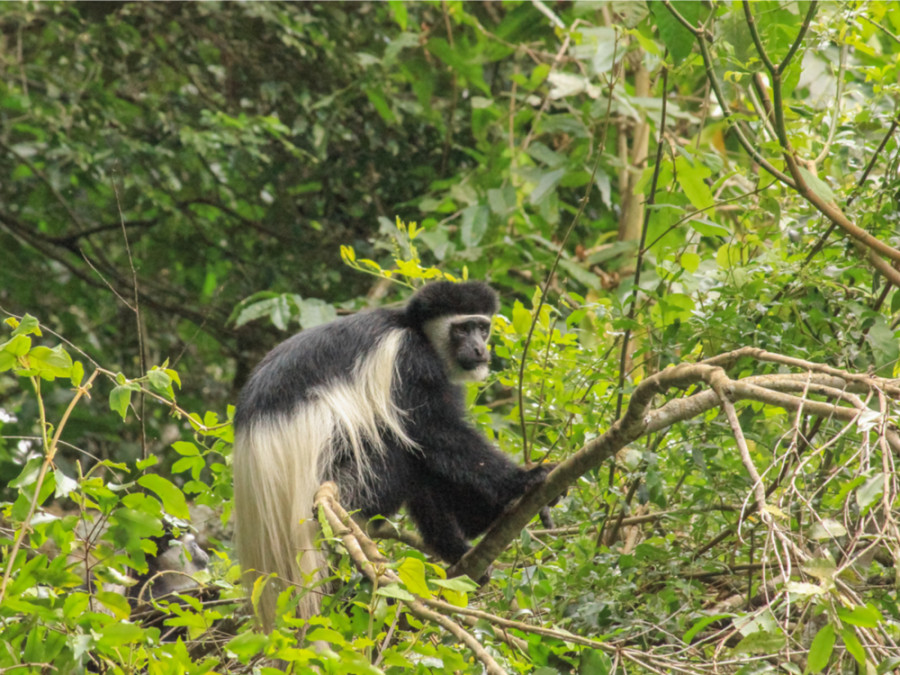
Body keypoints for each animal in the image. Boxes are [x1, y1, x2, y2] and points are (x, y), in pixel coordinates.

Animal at [234, 282, 548, 628]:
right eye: (463, 329)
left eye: (482, 327)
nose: (479, 349)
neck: (413, 328)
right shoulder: (410, 360)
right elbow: (432, 430)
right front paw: (524, 480)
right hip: (352, 483)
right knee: (405, 454)